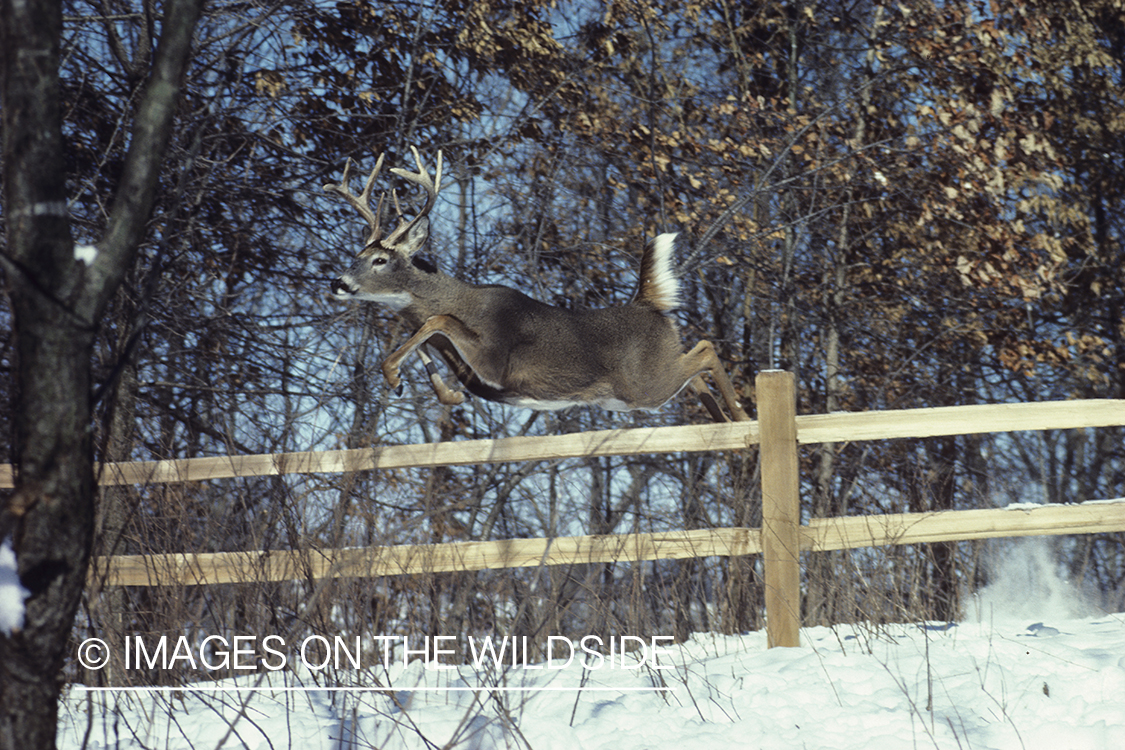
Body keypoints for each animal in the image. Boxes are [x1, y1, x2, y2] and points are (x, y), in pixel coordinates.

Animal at [326, 146, 747, 422]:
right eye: (357, 254)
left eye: (380, 260)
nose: (339, 282)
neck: (464, 300)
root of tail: (646, 304)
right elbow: (427, 337)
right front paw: (442, 392)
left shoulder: (497, 362)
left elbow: (436, 321)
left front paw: (392, 373)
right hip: (651, 379)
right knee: (694, 373)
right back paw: (724, 420)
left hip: (641, 385)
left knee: (706, 349)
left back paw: (742, 417)